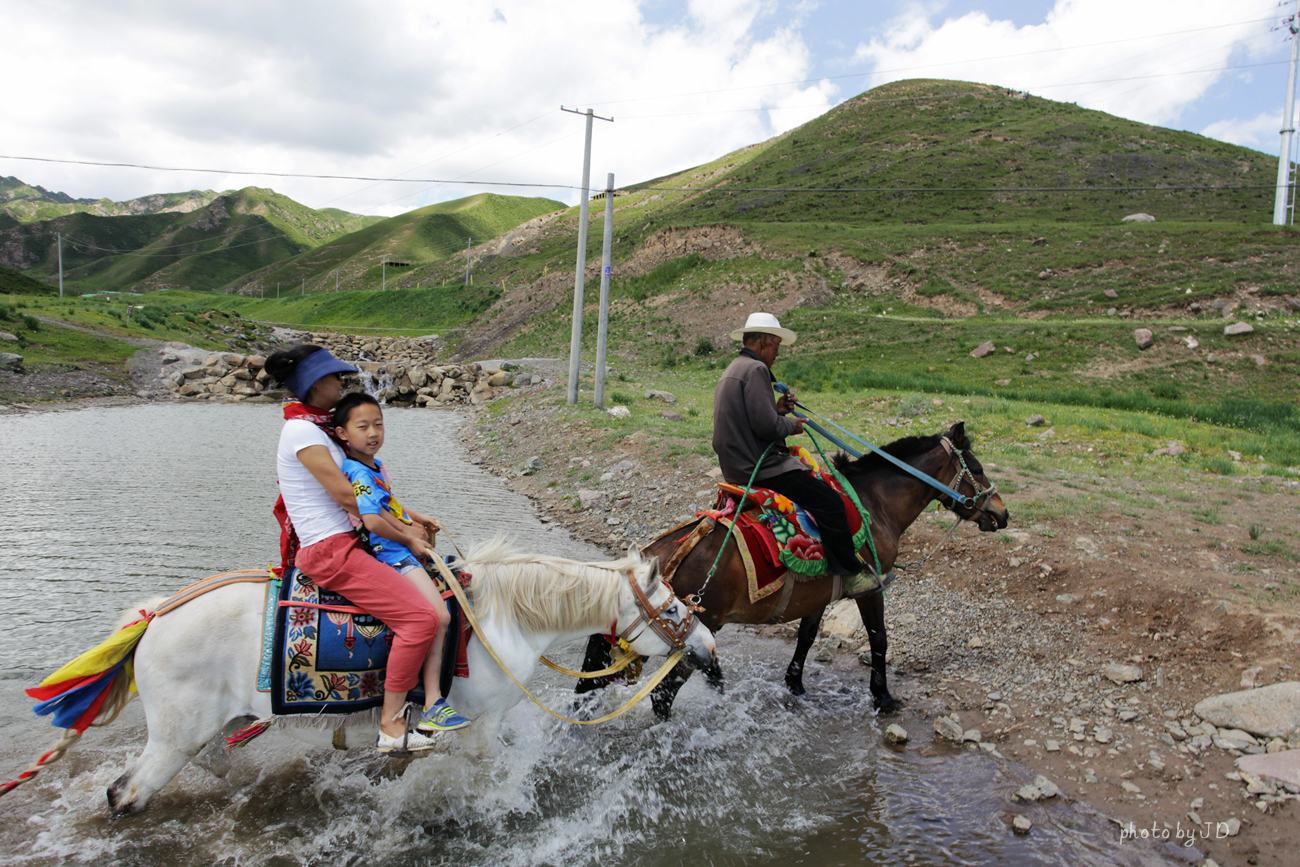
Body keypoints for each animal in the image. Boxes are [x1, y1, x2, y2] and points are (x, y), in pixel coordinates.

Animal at [102, 538, 717, 816]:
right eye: (673, 609)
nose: (709, 651)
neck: (505, 618)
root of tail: (154, 616)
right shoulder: (481, 724)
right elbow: (486, 766)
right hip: (175, 737)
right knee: (125, 793)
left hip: (210, 728)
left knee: (211, 761)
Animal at [574, 421, 1008, 717]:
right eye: (977, 468)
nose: (1001, 514)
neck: (874, 502)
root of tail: (660, 555)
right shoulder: (870, 588)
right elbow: (879, 639)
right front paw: (883, 697)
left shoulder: (819, 592)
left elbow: (807, 636)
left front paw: (795, 683)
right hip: (686, 639)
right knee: (661, 697)